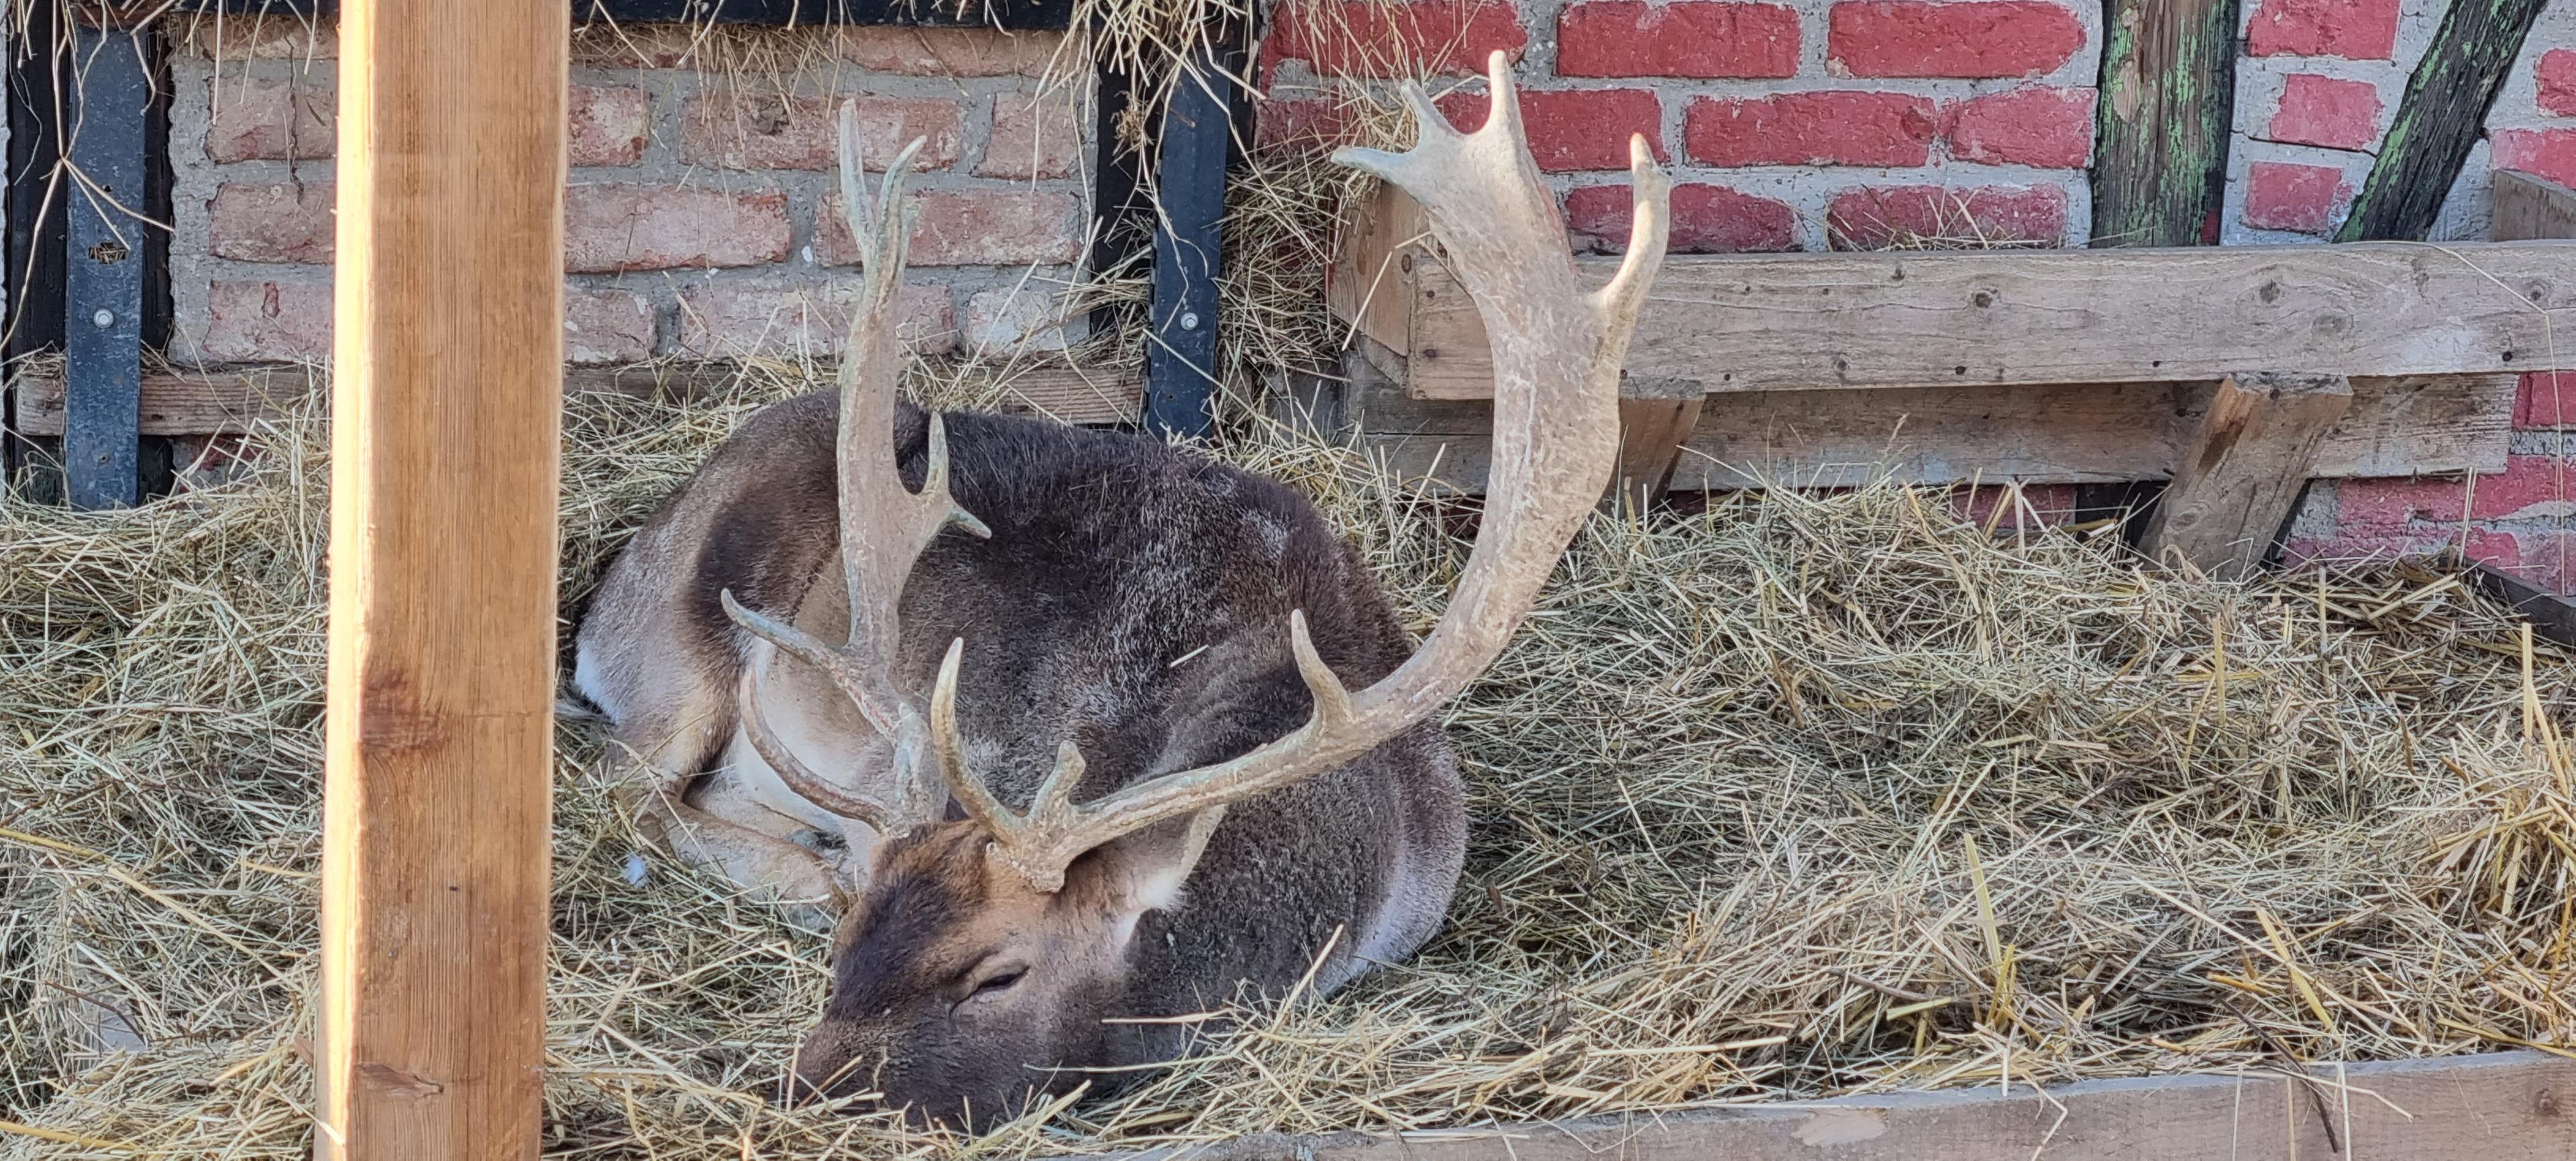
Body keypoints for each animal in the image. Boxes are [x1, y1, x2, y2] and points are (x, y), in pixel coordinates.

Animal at [569, 52, 1669, 1127]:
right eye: (849, 954)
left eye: (997, 974)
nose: (798, 1089)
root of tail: (616, 585)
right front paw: (826, 878)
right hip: (680, 639)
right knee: (626, 789)